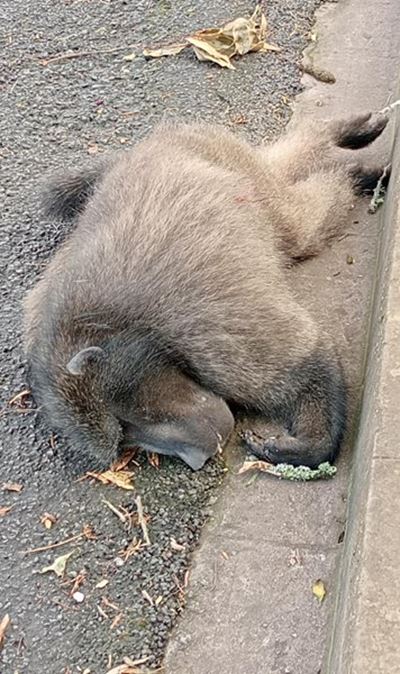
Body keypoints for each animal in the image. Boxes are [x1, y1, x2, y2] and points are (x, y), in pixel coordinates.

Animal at [23, 110, 390, 471]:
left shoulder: (206, 335)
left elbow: (307, 360)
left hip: (227, 161)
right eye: (125, 441)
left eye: (124, 419)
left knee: (298, 221)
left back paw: (346, 155)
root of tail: (147, 145)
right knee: (281, 174)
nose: (198, 459)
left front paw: (310, 446)